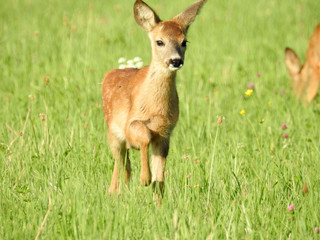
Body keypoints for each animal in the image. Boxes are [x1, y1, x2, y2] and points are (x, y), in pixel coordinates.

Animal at [101, 0, 206, 197]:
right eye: (159, 42)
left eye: (184, 41)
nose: (175, 60)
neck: (156, 109)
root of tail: (109, 74)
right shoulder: (131, 123)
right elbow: (144, 134)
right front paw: (145, 178)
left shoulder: (165, 134)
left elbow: (160, 181)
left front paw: (157, 198)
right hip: (112, 133)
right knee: (119, 163)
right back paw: (114, 193)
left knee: (124, 165)